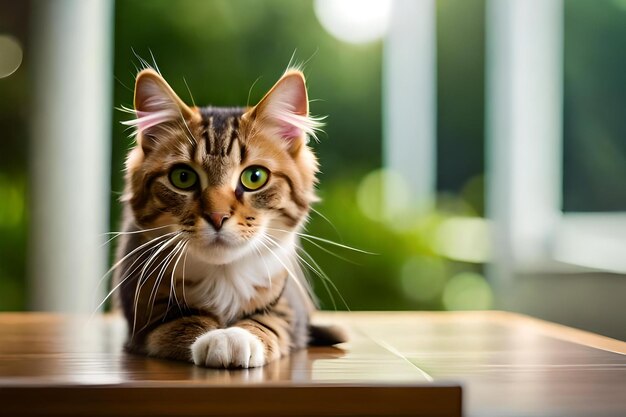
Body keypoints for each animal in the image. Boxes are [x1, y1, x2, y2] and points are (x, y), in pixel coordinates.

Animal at [113, 67, 346, 368]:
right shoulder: (145, 315)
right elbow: (185, 321)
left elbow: (267, 322)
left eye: (255, 177)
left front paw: (237, 337)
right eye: (183, 177)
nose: (217, 216)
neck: (223, 274)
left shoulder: (287, 308)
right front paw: (218, 339)